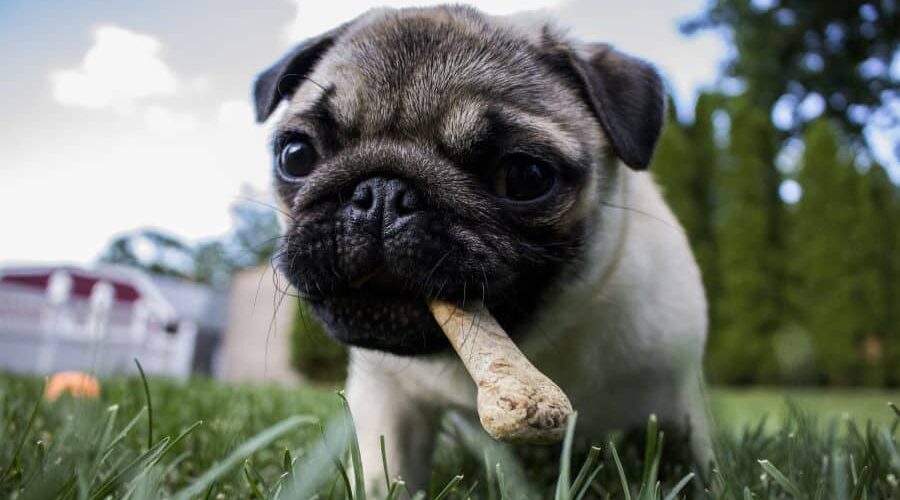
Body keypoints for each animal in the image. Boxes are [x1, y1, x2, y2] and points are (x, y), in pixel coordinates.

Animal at [251, 5, 712, 494]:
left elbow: (697, 464)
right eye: (296, 155)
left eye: (526, 177)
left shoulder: (680, 396)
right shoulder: (387, 397)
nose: (382, 194)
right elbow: (385, 471)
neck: (533, 343)